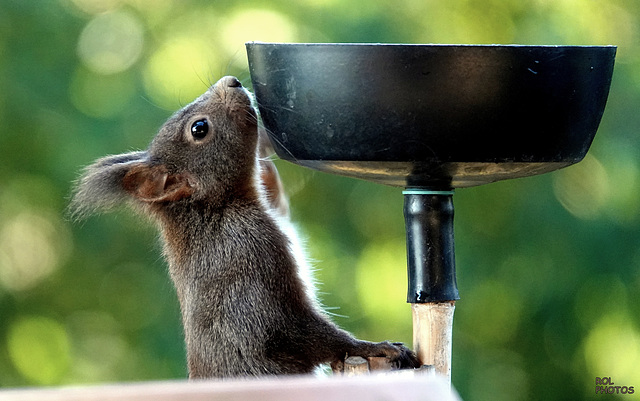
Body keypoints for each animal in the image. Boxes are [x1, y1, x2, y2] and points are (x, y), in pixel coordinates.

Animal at [71, 76, 420, 378]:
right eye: (199, 128)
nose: (232, 82)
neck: (216, 208)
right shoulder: (248, 256)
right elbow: (299, 332)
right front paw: (376, 347)